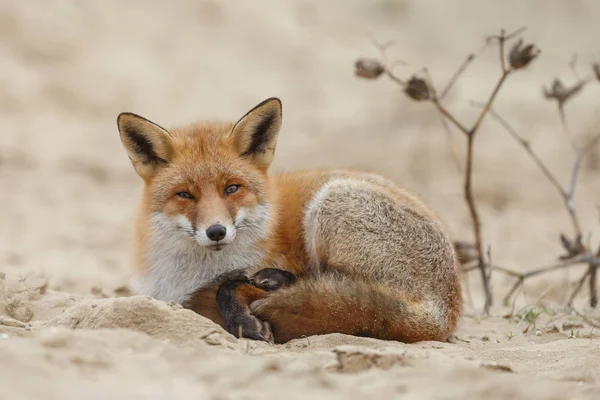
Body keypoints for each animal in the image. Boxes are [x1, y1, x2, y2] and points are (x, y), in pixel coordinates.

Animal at [117, 97, 464, 344]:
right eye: (185, 195)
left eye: (232, 188)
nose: (216, 231)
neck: (192, 273)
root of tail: (445, 312)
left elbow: (226, 286)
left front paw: (244, 321)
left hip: (330, 202)